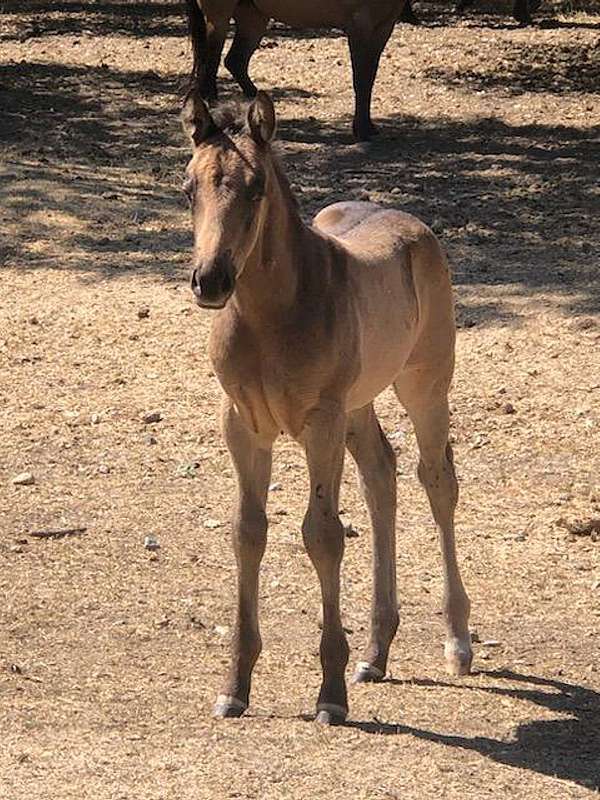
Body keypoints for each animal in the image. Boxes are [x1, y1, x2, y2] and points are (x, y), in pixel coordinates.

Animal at [181, 90, 473, 724]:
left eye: (256, 187)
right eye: (188, 187)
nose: (210, 281)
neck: (271, 318)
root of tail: (414, 225)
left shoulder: (320, 423)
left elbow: (322, 534)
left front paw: (330, 694)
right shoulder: (243, 425)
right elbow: (248, 531)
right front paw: (235, 685)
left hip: (424, 384)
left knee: (437, 480)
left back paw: (457, 642)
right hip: (358, 406)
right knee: (381, 475)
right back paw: (376, 652)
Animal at [185, 0, 409, 140]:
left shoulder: (384, 27)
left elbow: (369, 78)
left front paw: (369, 127)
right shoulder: (359, 27)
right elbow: (361, 80)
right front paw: (361, 130)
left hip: (253, 18)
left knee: (235, 61)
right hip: (219, 17)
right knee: (210, 61)